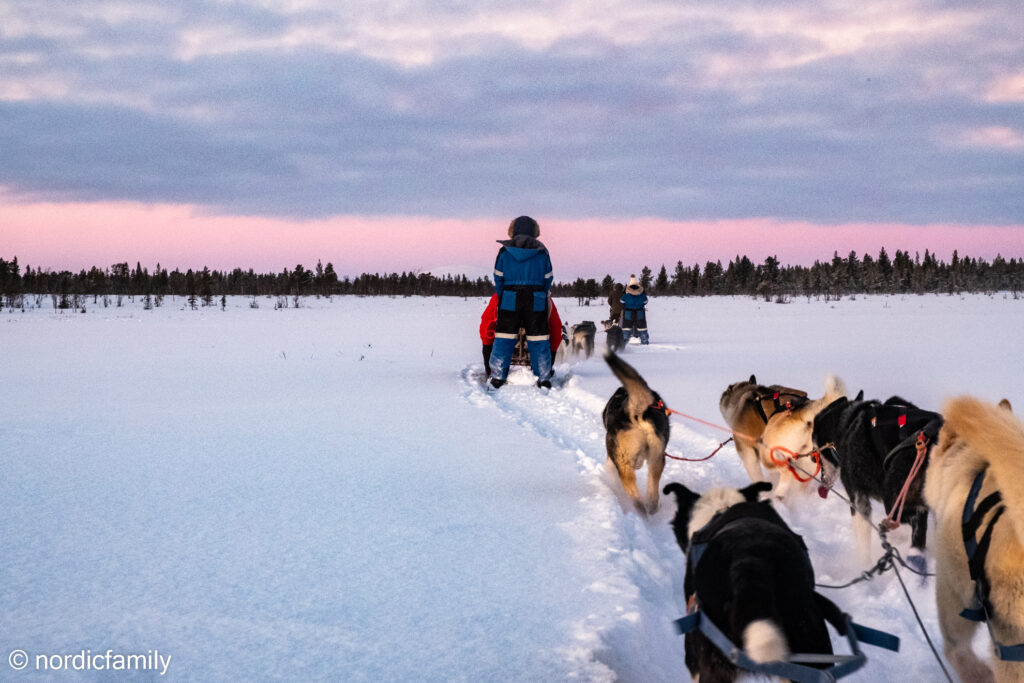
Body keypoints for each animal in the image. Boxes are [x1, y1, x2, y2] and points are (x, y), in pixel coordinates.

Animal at [598, 350, 671, 516]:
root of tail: (635, 413)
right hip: (657, 458)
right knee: (652, 495)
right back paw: (652, 508)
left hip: (624, 466)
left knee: (637, 501)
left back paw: (640, 514)